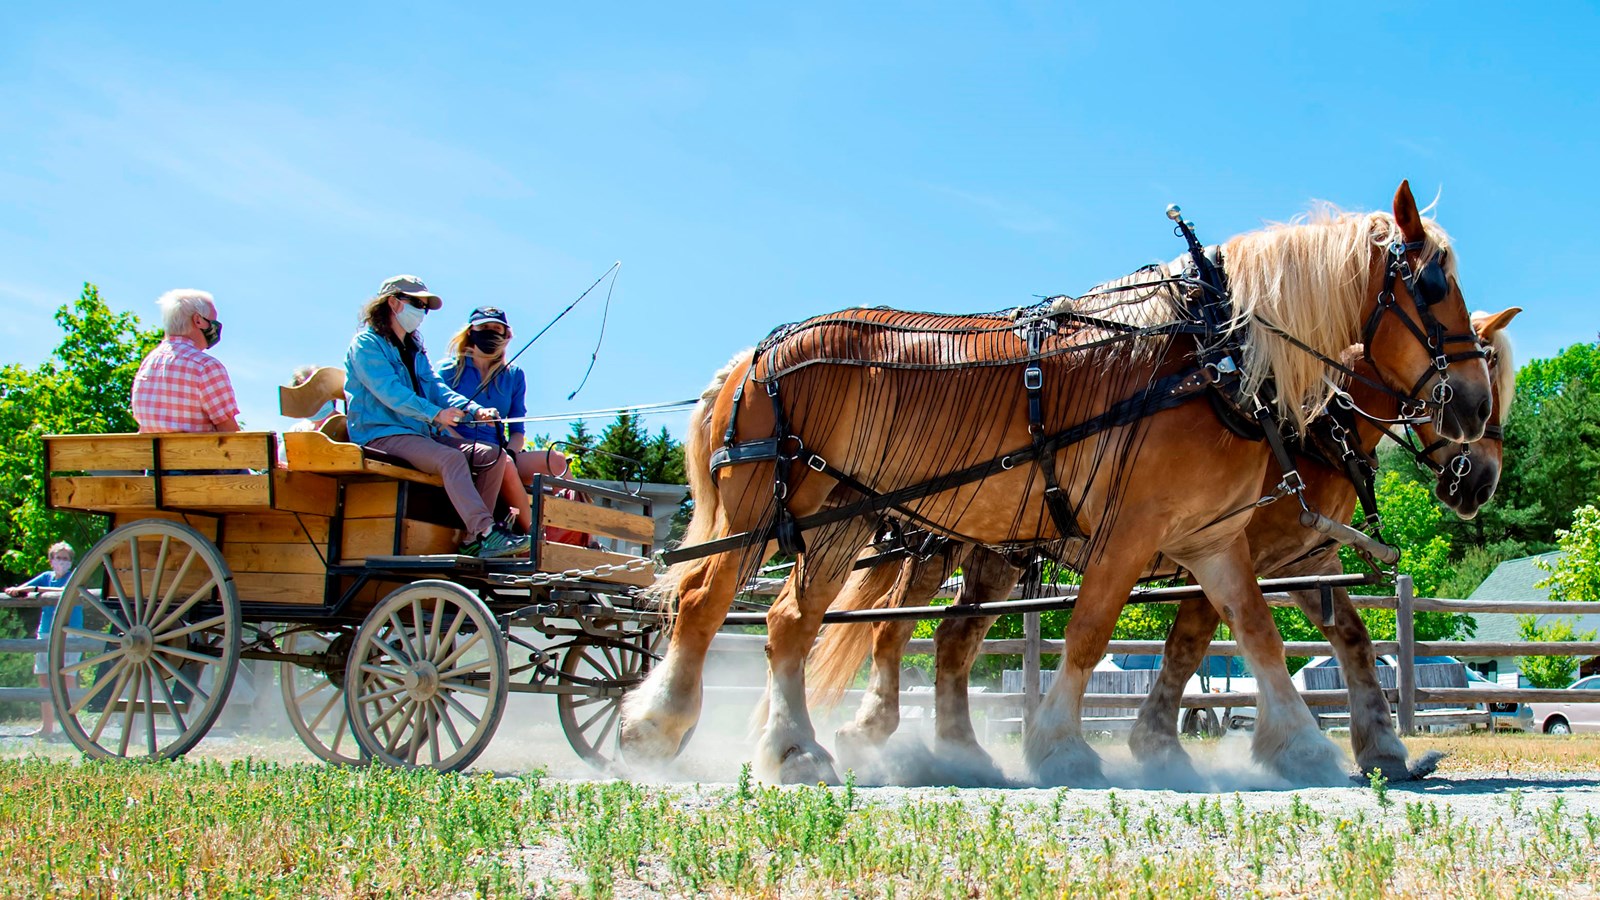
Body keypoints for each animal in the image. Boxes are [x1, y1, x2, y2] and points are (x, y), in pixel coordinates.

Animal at [806, 305, 1516, 778]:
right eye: (1473, 390)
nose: (1480, 480)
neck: (1297, 418)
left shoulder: (1302, 555)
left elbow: (1351, 638)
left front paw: (1384, 750)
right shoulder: (1233, 547)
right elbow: (1192, 641)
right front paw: (1160, 743)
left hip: (995, 555)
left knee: (952, 636)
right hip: (932, 547)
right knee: (891, 629)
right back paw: (868, 732)